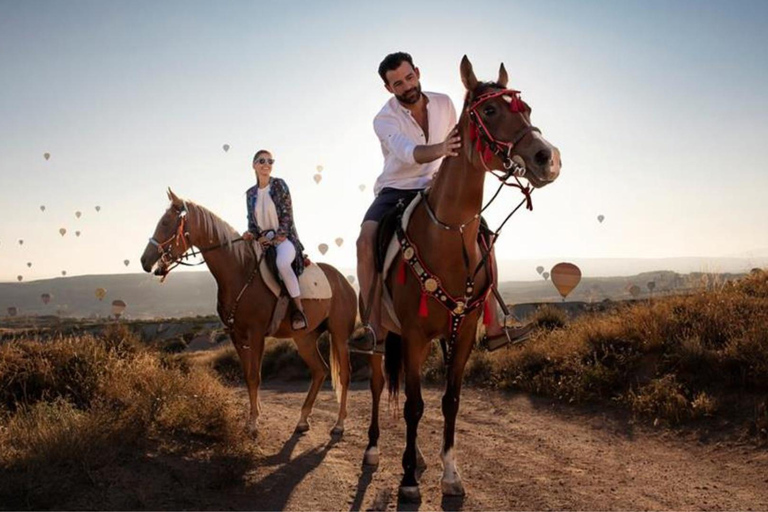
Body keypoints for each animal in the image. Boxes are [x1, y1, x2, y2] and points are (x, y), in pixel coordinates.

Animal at [140, 190, 356, 438]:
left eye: (166, 223)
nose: (145, 261)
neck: (240, 272)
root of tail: (344, 282)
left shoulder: (256, 334)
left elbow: (255, 377)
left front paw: (253, 423)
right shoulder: (236, 335)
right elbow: (247, 377)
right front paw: (251, 420)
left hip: (339, 335)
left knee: (345, 374)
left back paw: (339, 424)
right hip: (305, 338)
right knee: (320, 371)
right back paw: (302, 420)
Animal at [364, 56, 560, 500]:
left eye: (527, 109)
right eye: (490, 111)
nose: (547, 157)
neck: (447, 235)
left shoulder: (464, 332)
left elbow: (449, 401)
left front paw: (450, 474)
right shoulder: (414, 336)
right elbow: (413, 405)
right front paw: (407, 482)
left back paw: (418, 457)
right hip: (384, 332)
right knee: (379, 382)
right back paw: (374, 450)